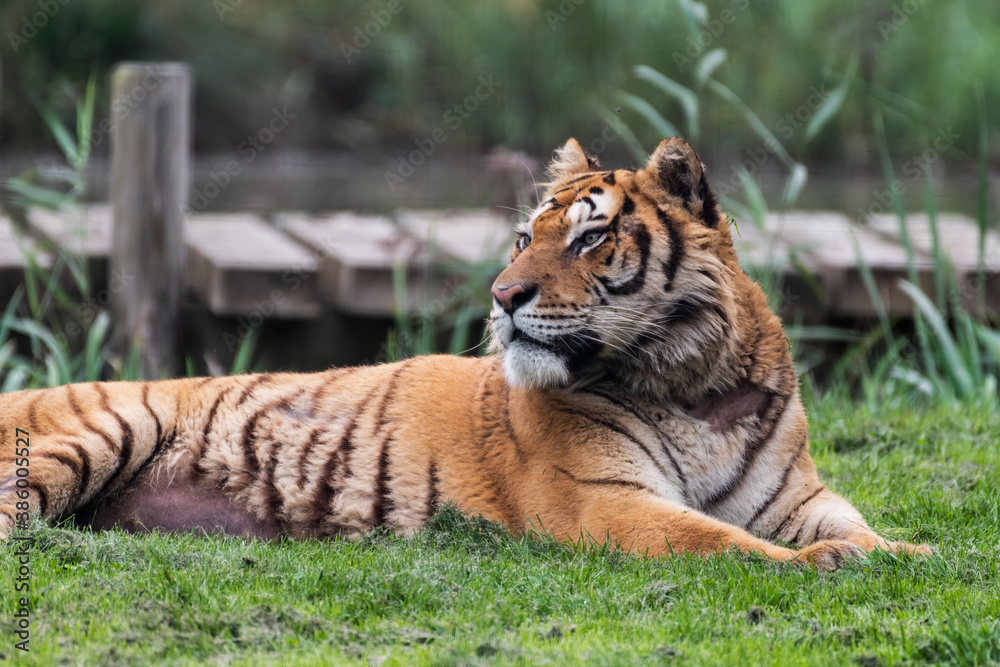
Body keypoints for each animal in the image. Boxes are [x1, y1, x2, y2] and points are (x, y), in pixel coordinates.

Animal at [0, 137, 931, 571]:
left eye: (590, 238)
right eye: (525, 237)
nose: (502, 294)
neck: (692, 383)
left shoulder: (796, 492)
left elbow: (852, 522)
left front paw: (907, 553)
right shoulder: (608, 502)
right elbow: (722, 542)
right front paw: (823, 563)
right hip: (101, 430)